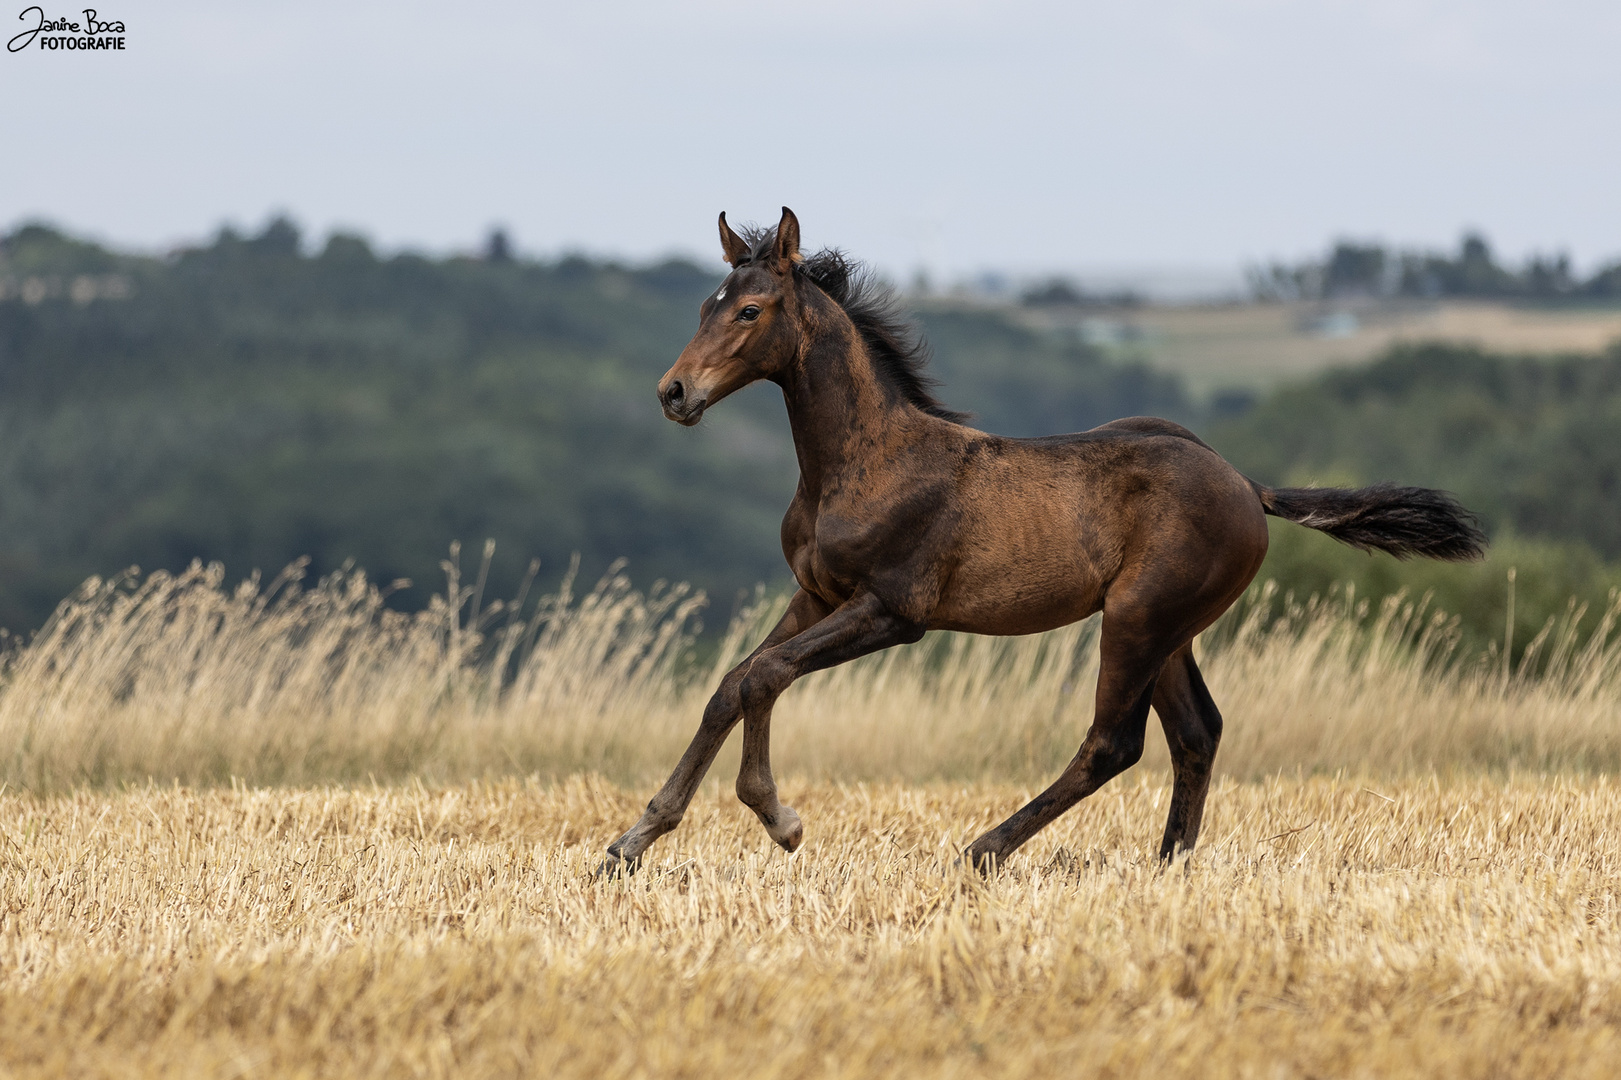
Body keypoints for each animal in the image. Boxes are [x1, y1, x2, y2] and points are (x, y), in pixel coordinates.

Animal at [596, 207, 1484, 875]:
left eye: (750, 311)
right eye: (704, 306)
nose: (674, 393)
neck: (859, 460)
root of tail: (1245, 486)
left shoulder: (891, 611)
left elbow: (764, 675)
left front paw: (778, 819)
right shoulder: (816, 595)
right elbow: (734, 683)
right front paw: (632, 842)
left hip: (1137, 619)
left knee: (1113, 743)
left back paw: (984, 850)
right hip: (1168, 629)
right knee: (1197, 733)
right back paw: (1166, 867)